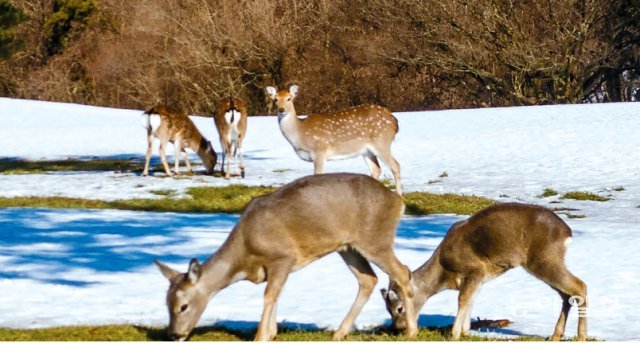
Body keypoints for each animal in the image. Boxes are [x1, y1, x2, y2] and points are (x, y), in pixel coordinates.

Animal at [153, 173, 418, 342]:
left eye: (183, 306)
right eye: (166, 303)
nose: (173, 334)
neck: (245, 253)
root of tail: (397, 201)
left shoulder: (283, 256)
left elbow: (269, 294)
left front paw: (261, 336)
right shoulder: (276, 267)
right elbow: (276, 294)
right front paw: (271, 333)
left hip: (375, 239)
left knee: (402, 272)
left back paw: (411, 331)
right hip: (347, 246)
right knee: (368, 279)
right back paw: (339, 332)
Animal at [264, 85, 402, 195]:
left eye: (289, 98)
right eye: (275, 99)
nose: (281, 109)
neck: (300, 134)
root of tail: (394, 121)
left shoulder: (319, 151)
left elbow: (317, 176)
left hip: (381, 142)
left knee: (395, 165)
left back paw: (399, 196)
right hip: (366, 150)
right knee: (376, 169)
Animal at [382, 204, 588, 342]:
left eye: (399, 308)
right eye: (387, 309)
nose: (397, 328)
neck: (443, 273)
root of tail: (567, 232)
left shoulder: (475, 269)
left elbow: (463, 300)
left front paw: (455, 334)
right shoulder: (478, 279)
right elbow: (471, 300)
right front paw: (466, 331)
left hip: (543, 259)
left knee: (580, 286)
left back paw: (581, 337)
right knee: (566, 294)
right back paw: (556, 335)